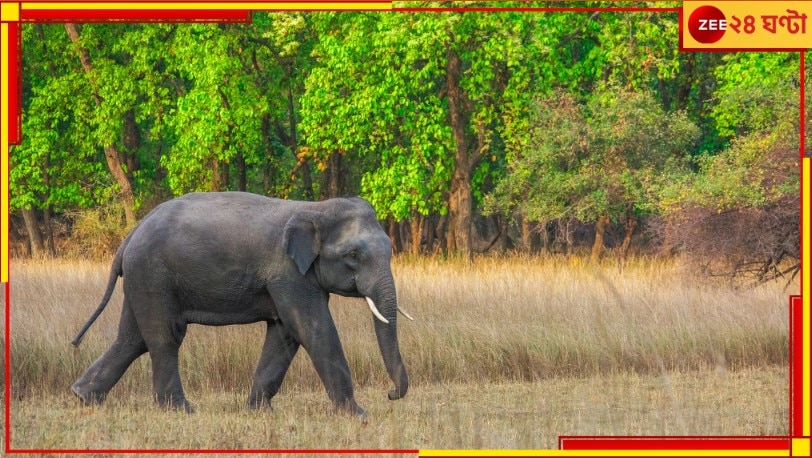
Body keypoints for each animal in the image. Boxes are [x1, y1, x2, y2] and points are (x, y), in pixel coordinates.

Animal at [70, 191, 412, 416]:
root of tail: (130, 235)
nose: (390, 394)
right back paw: (182, 410)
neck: (314, 208)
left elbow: (285, 333)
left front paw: (259, 412)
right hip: (154, 276)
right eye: (353, 255)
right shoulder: (288, 272)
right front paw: (357, 414)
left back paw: (84, 398)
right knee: (165, 337)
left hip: (143, 278)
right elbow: (313, 328)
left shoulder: (289, 278)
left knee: (132, 339)